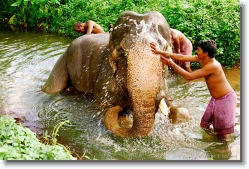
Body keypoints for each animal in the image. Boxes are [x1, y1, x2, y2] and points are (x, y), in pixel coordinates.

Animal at [41, 10, 192, 138]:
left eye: (166, 51)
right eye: (122, 54)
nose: (121, 108)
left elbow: (180, 110)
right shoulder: (106, 78)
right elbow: (101, 109)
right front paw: (122, 113)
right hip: (63, 60)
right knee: (51, 88)